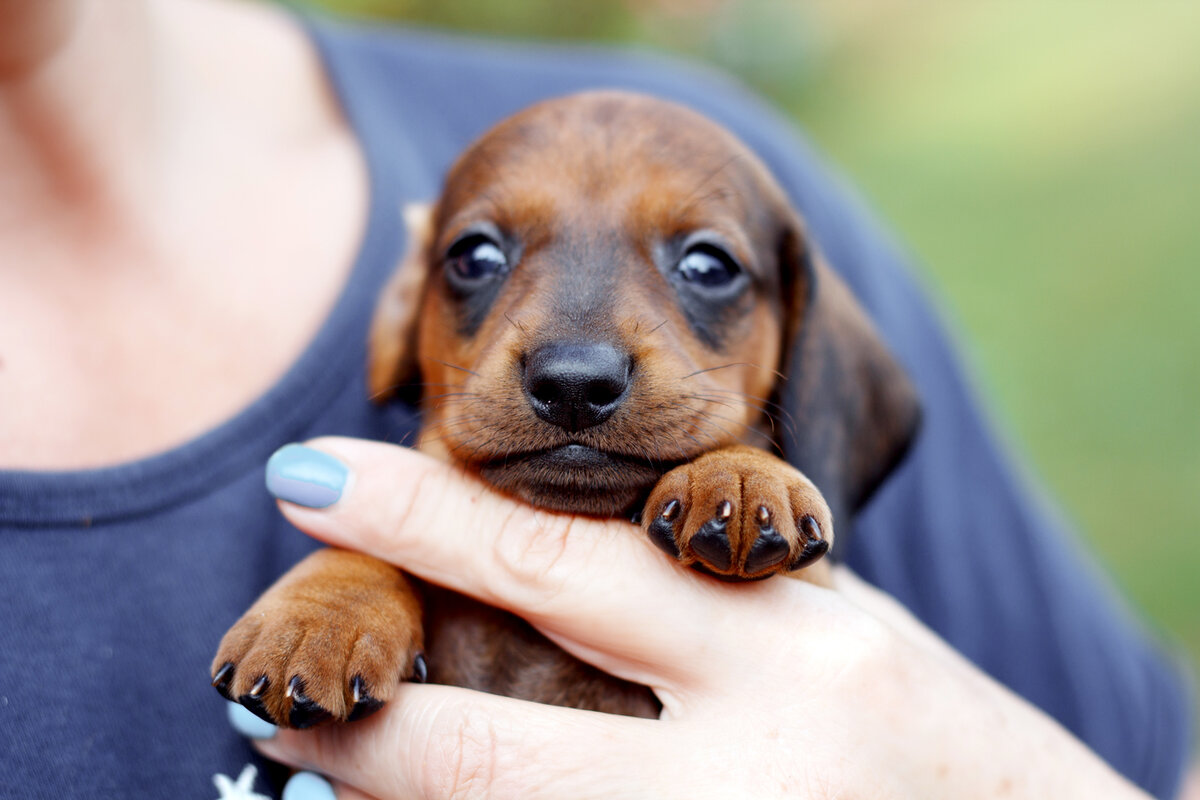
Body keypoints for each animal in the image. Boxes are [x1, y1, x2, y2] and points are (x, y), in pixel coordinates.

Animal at [213, 92, 916, 724]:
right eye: (474, 255)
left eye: (709, 266)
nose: (574, 383)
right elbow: (374, 545)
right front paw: (320, 611)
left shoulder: (819, 598)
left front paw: (743, 475)